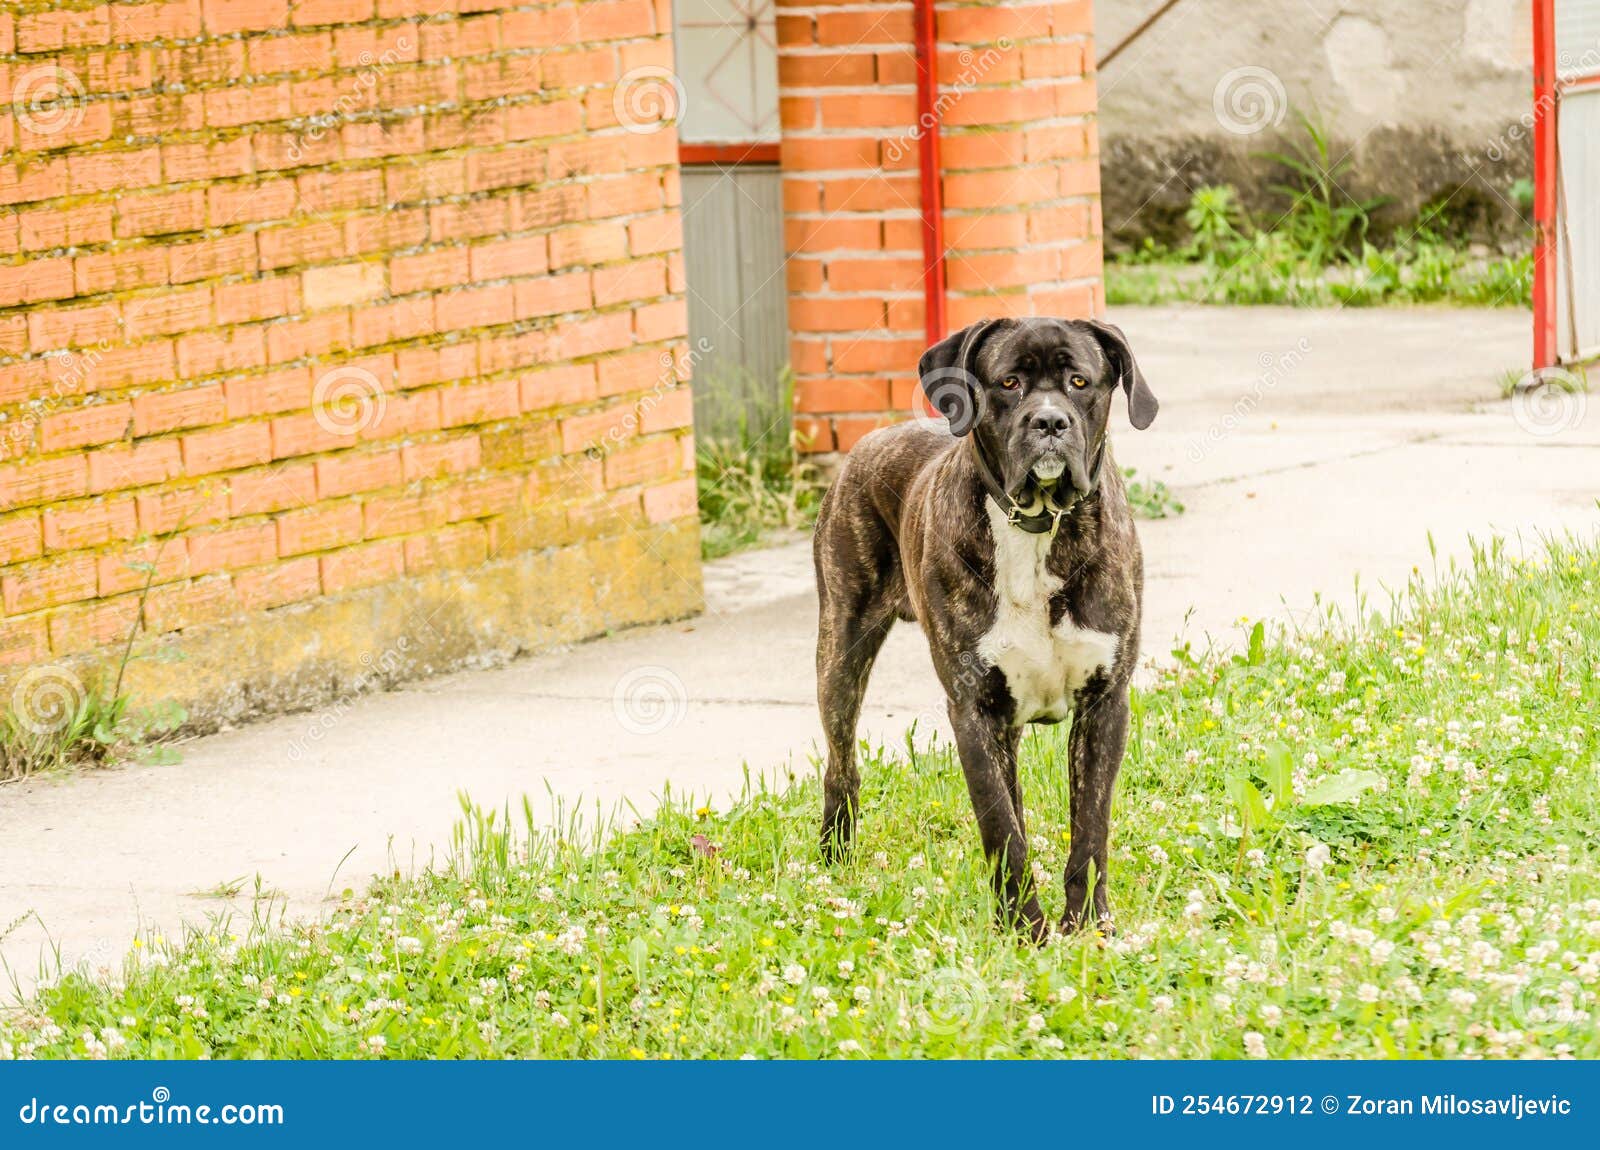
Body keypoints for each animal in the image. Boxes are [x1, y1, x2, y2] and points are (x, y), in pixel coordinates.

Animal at [819, 316, 1158, 946]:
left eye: (1080, 381)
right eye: (1009, 382)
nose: (1048, 421)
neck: (1037, 527)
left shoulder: (1105, 705)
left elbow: (1090, 828)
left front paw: (1086, 927)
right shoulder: (974, 710)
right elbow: (1001, 827)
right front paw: (1024, 930)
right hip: (841, 651)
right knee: (840, 763)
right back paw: (832, 860)